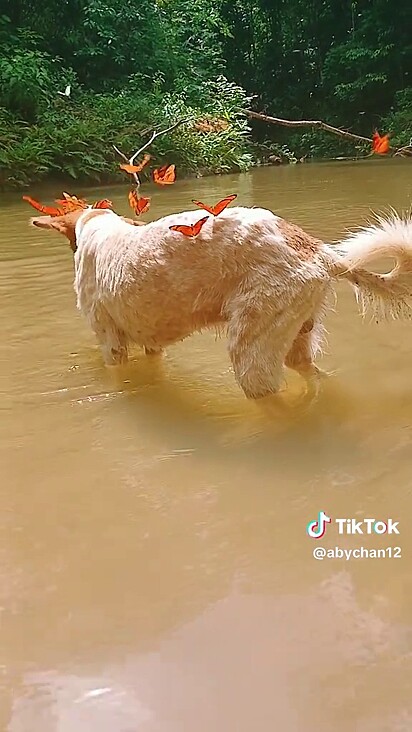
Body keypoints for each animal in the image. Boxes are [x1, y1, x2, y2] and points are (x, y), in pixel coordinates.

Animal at [29, 206, 412, 398]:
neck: (96, 226)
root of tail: (320, 251)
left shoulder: (110, 343)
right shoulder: (152, 344)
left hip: (251, 356)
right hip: (295, 343)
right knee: (317, 379)